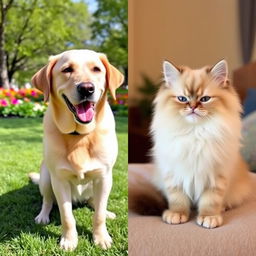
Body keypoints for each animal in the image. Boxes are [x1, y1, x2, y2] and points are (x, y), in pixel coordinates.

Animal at [151, 60, 251, 228]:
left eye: (205, 99)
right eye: (182, 98)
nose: (192, 107)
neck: (195, 132)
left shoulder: (215, 177)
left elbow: (210, 202)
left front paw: (209, 218)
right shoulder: (173, 174)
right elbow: (177, 200)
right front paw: (177, 215)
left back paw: (222, 208)